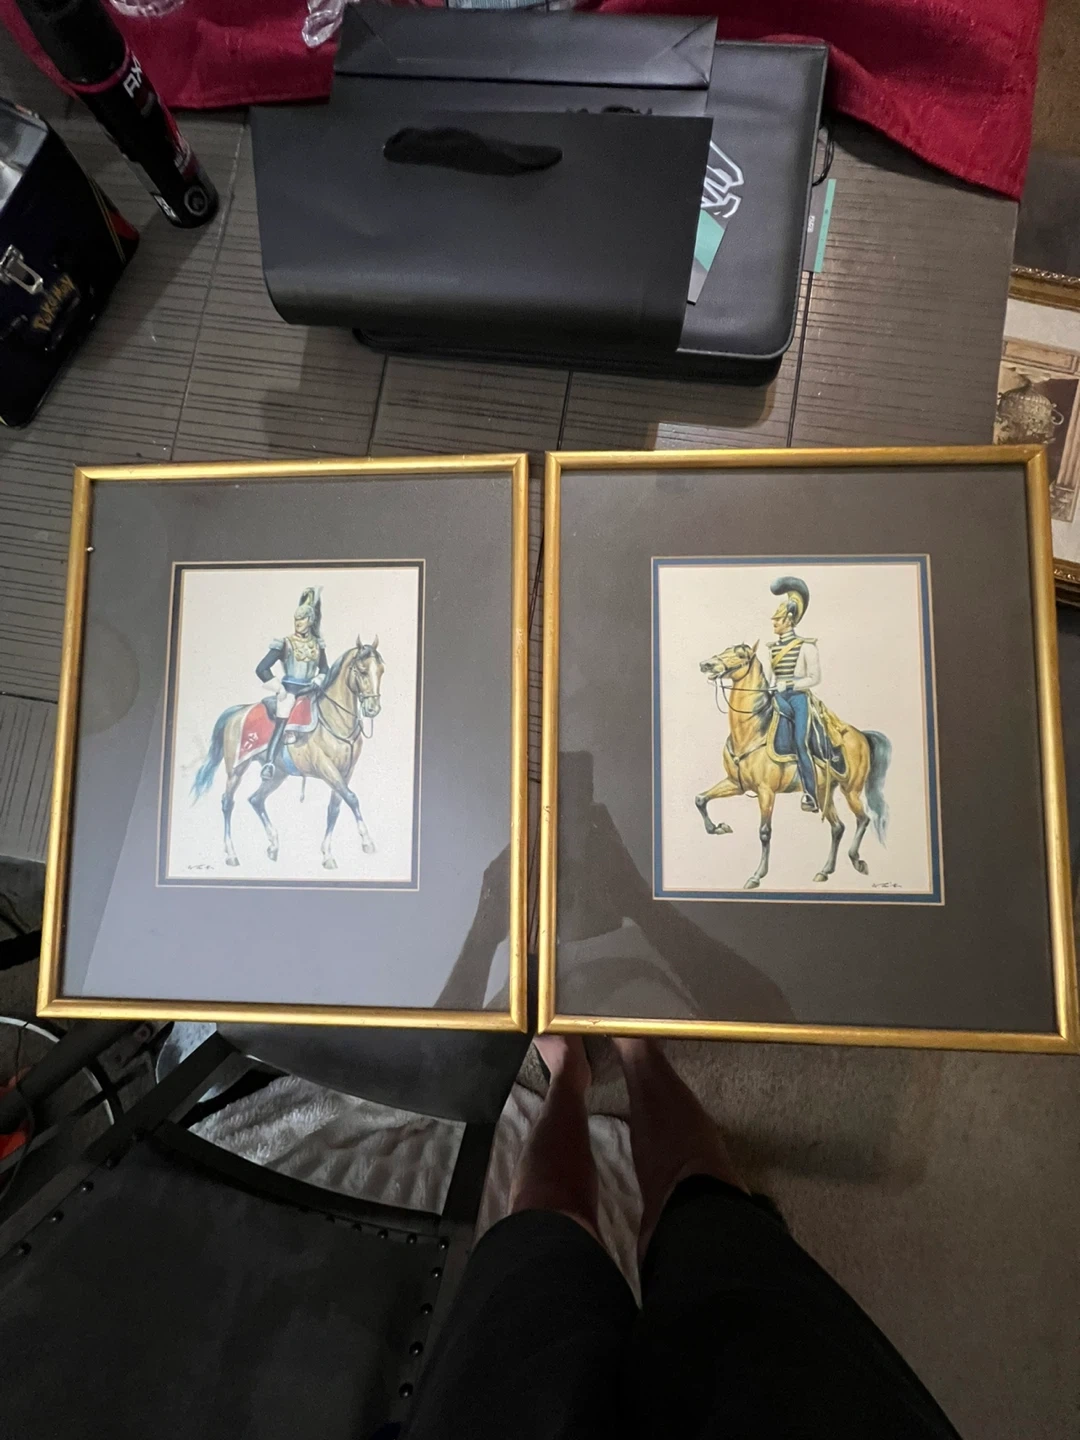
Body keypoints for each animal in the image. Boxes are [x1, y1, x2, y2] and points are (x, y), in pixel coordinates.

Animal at [190, 637, 384, 870]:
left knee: (256, 799)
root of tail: (237, 712)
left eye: (381, 670)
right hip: (236, 769)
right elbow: (352, 799)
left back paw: (273, 846)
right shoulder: (326, 768)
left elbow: (335, 809)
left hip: (278, 775)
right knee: (228, 803)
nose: (373, 709)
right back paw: (231, 854)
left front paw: (327, 854)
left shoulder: (345, 772)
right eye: (362, 670)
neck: (334, 719)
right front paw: (367, 841)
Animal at [694, 642, 891, 891]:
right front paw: (718, 828)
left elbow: (764, 832)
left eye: (740, 655)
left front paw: (757, 876)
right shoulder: (735, 784)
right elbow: (700, 799)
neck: (752, 730)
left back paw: (856, 860)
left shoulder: (766, 792)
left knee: (863, 819)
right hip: (823, 792)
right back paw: (825, 871)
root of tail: (862, 735)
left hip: (851, 791)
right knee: (838, 827)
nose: (706, 664)